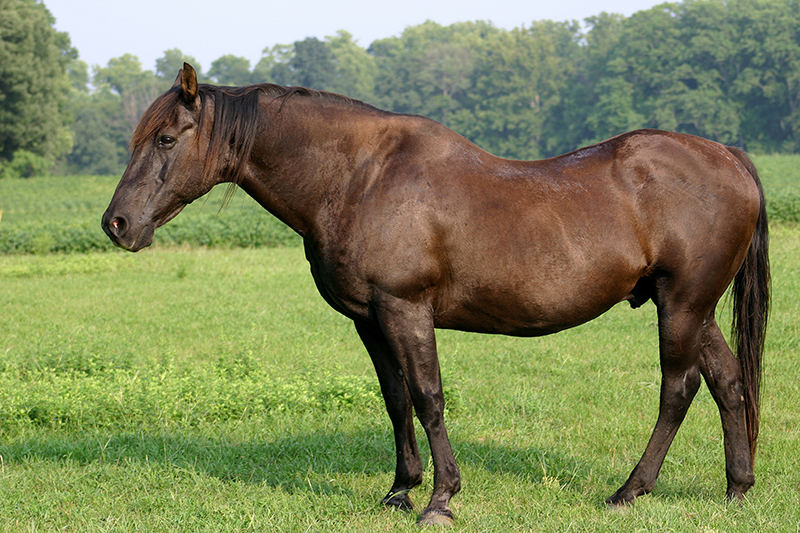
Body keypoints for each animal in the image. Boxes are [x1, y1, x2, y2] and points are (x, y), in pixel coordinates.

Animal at [101, 64, 768, 524]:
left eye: (166, 140)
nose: (117, 224)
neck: (360, 178)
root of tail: (729, 157)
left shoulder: (406, 309)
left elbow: (428, 396)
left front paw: (441, 499)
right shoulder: (370, 319)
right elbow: (396, 399)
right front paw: (401, 489)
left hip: (682, 305)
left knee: (677, 389)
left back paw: (630, 490)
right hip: (692, 308)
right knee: (728, 382)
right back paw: (737, 489)